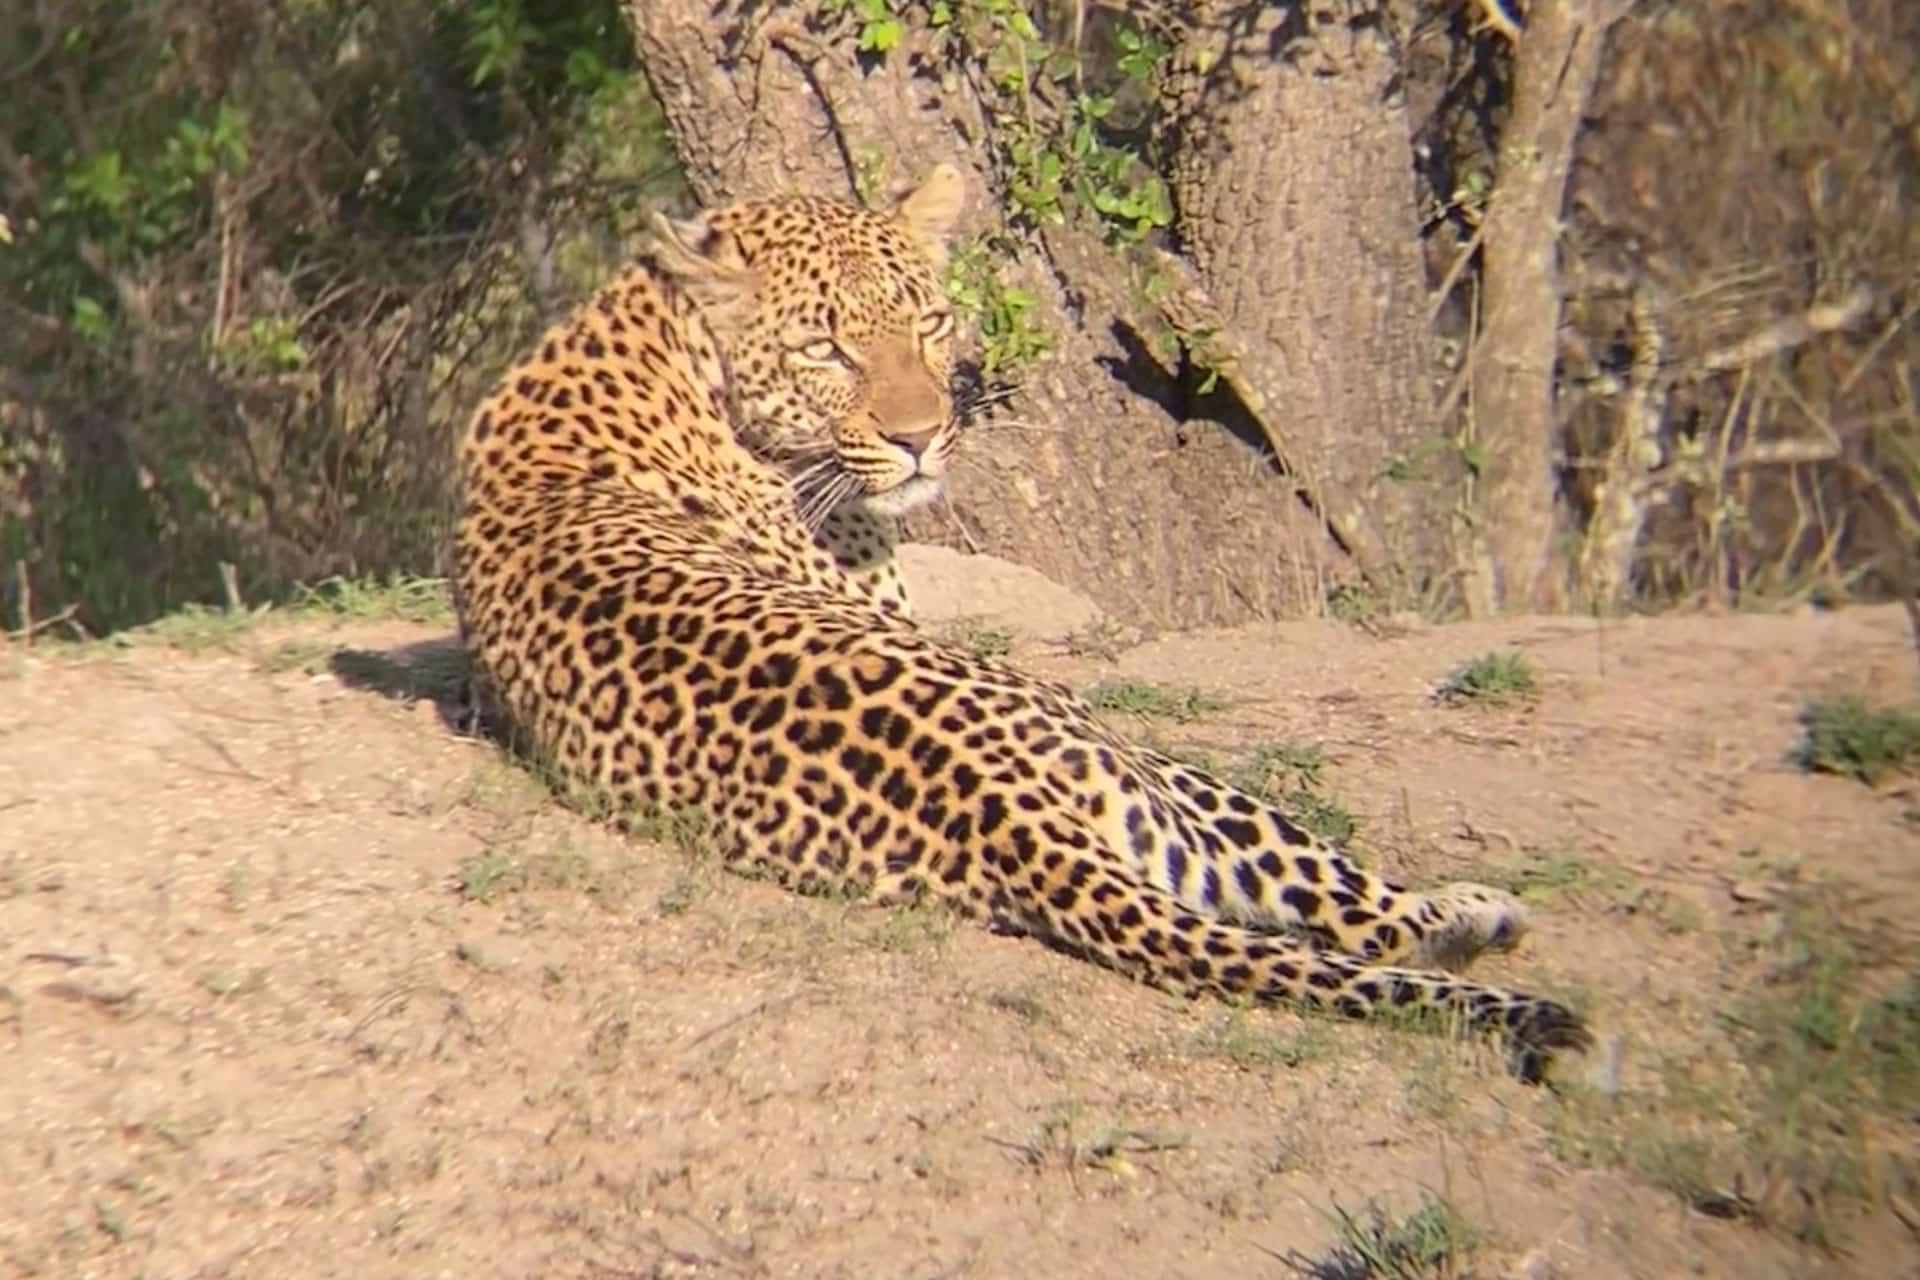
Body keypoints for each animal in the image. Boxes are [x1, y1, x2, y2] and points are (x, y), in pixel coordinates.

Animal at [450, 165, 1591, 1081]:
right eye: (826, 349)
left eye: (927, 323)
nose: (922, 437)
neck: (657, 339)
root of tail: (1002, 812)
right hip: (1141, 764)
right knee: (1347, 908)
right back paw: (1471, 909)